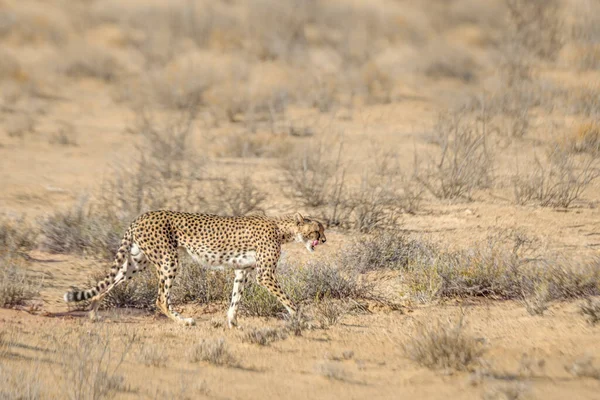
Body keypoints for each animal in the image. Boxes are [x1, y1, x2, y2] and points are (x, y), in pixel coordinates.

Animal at [62, 211, 326, 326]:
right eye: (316, 230)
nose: (324, 240)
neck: (283, 229)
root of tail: (142, 215)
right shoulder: (265, 275)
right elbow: (288, 299)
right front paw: (302, 316)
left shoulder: (243, 271)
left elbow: (235, 298)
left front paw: (232, 322)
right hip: (168, 260)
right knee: (160, 299)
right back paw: (184, 321)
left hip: (137, 262)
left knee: (110, 282)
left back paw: (93, 312)